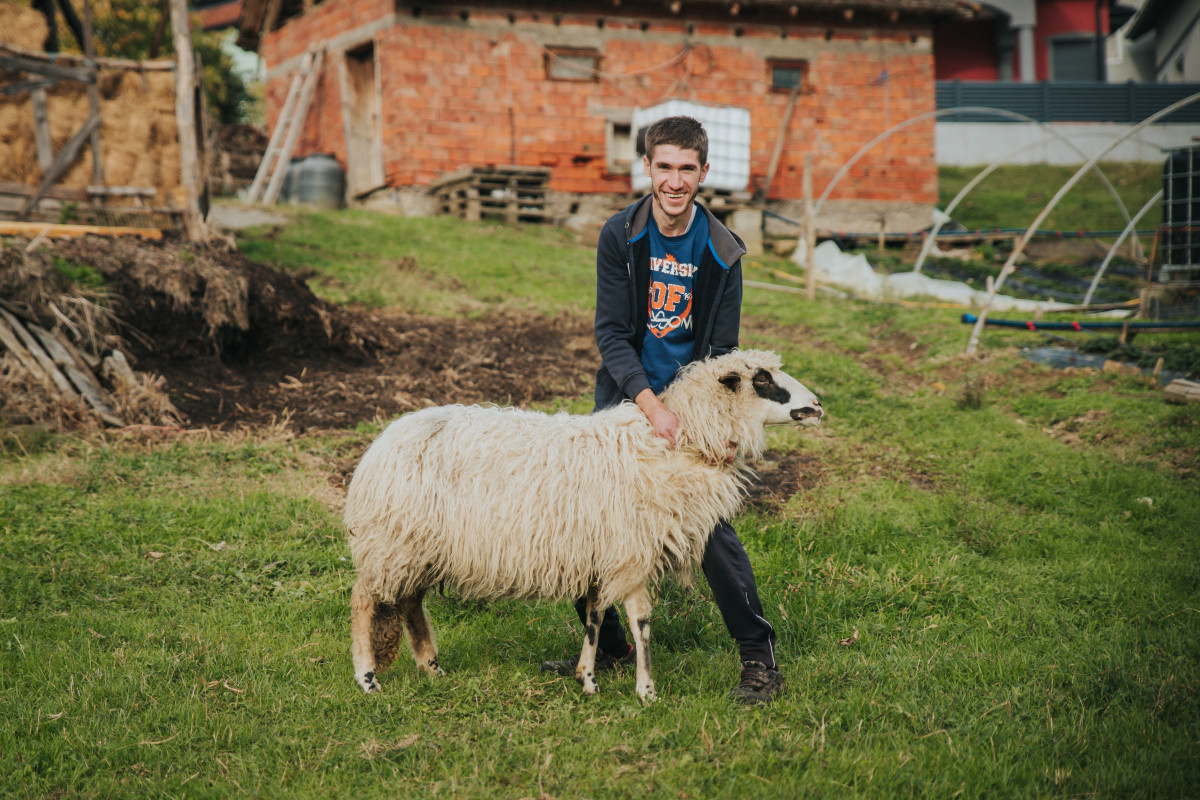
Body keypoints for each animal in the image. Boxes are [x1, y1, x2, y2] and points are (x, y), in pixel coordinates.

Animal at [344, 348, 823, 701]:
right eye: (762, 379)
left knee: (409, 603)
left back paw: (432, 668)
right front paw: (646, 691)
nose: (817, 405)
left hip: (416, 545)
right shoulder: (631, 552)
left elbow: (594, 617)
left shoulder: (603, 554)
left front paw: (588, 679)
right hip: (392, 540)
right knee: (365, 600)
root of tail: (382, 442)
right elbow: (640, 621)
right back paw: (368, 679)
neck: (676, 444)